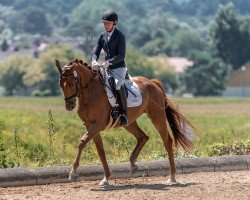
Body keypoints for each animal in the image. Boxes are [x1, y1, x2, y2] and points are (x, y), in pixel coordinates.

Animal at [55, 59, 195, 186]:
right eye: (60, 84)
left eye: (71, 84)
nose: (69, 105)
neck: (90, 91)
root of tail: (153, 82)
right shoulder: (91, 125)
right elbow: (101, 151)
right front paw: (106, 178)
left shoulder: (97, 125)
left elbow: (82, 142)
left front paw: (73, 173)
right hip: (129, 122)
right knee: (143, 137)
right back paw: (133, 164)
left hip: (157, 117)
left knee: (167, 141)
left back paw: (172, 177)